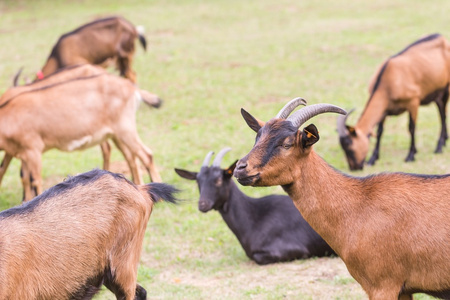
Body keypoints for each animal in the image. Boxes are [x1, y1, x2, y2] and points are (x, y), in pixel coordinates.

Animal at [0, 64, 162, 200]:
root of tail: (131, 87)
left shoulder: (33, 150)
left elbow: (35, 181)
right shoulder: (21, 152)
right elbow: (22, 177)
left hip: (125, 129)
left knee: (146, 155)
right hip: (116, 134)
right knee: (130, 156)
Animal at [232, 98, 450, 298]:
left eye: (287, 144)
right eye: (257, 138)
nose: (240, 168)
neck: (359, 205)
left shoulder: (384, 284)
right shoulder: (404, 289)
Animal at [338, 33, 450, 170]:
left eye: (349, 145)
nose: (354, 167)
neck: (388, 81)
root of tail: (442, 38)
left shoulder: (413, 102)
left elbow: (411, 127)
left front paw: (411, 155)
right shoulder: (385, 110)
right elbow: (380, 131)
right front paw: (373, 159)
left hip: (446, 88)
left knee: (443, 115)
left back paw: (439, 147)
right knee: (442, 112)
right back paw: (444, 142)